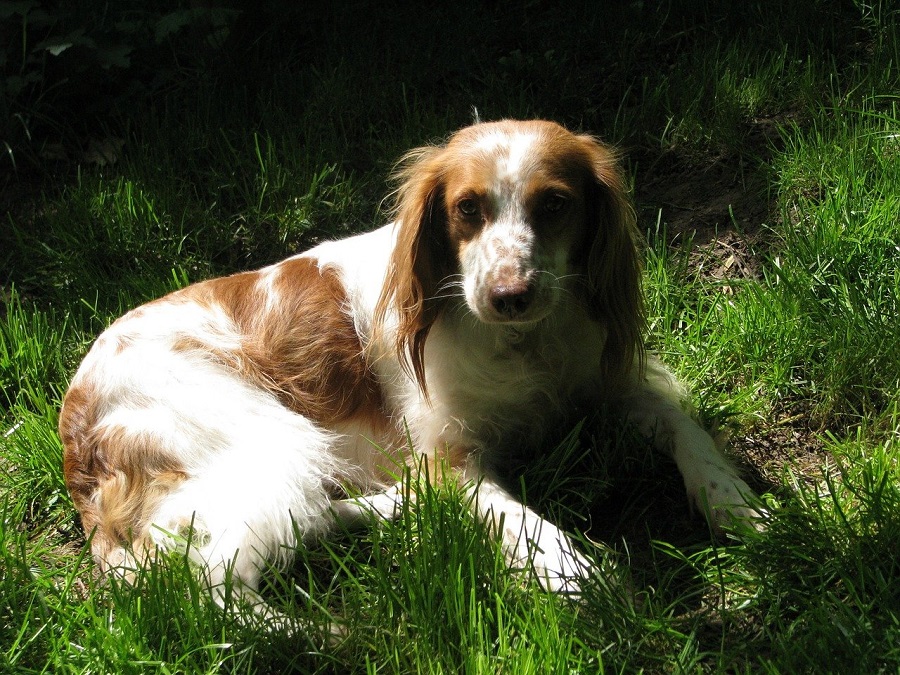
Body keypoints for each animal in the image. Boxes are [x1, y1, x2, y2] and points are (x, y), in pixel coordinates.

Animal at [58, 119, 760, 616]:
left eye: (555, 204)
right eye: (468, 208)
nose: (509, 295)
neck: (525, 344)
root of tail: (73, 417)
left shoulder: (618, 385)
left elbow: (694, 437)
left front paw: (743, 507)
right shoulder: (451, 460)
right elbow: (530, 525)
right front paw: (586, 579)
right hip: (271, 438)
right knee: (206, 583)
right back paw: (322, 638)